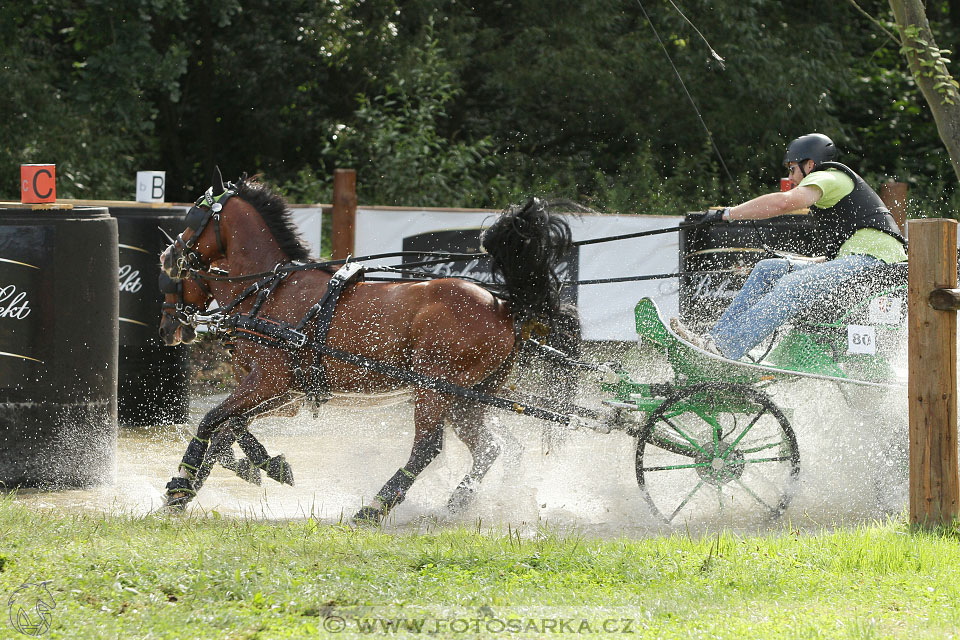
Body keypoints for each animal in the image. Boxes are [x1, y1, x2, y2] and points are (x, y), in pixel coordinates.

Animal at [160, 174, 572, 520]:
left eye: (193, 217)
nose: (168, 255)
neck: (271, 290)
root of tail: (504, 306)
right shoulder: (286, 391)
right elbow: (230, 427)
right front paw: (248, 471)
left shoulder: (268, 381)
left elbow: (212, 420)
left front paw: (181, 485)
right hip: (466, 398)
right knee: (488, 448)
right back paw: (458, 502)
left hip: (434, 389)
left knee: (428, 448)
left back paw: (374, 508)